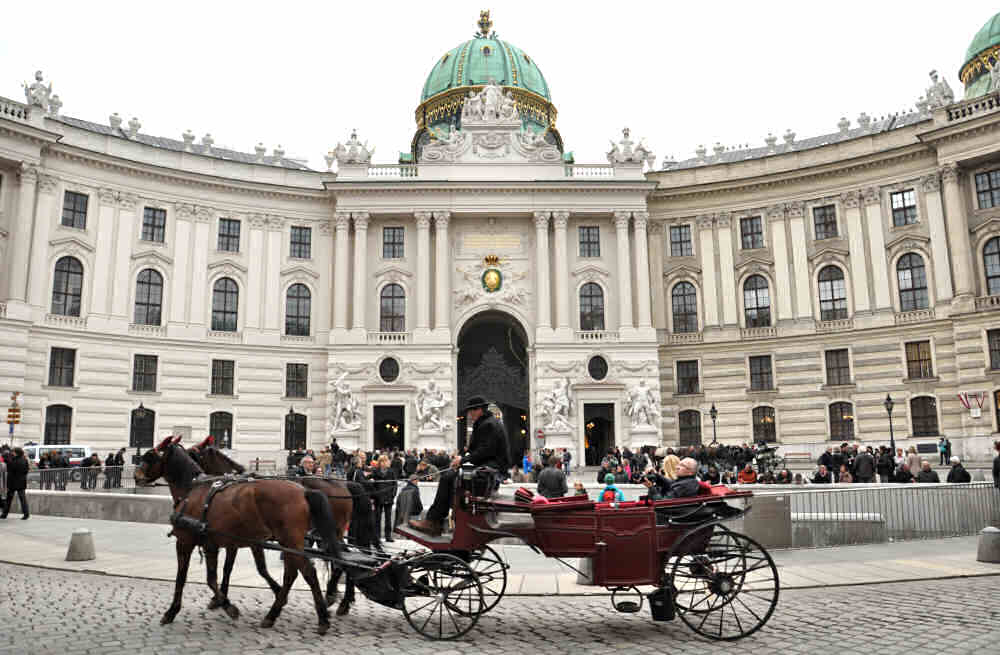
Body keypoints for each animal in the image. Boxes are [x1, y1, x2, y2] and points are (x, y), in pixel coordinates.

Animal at [136, 436, 344, 636]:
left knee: (308, 572)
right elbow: (215, 576)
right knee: (294, 572)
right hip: (290, 542)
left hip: (292, 541)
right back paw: (278, 612)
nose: (136, 476)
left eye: (149, 456)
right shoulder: (217, 544)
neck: (193, 490)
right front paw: (223, 602)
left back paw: (322, 617)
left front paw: (172, 611)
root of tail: (304, 491)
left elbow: (183, 576)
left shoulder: (185, 542)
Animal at [188, 440, 376, 616]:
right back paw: (342, 598)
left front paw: (219, 599)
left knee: (341, 560)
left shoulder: (235, 539)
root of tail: (345, 485)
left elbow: (230, 568)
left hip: (333, 530)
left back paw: (336, 597)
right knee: (344, 557)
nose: (195, 479)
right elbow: (237, 568)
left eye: (194, 454)